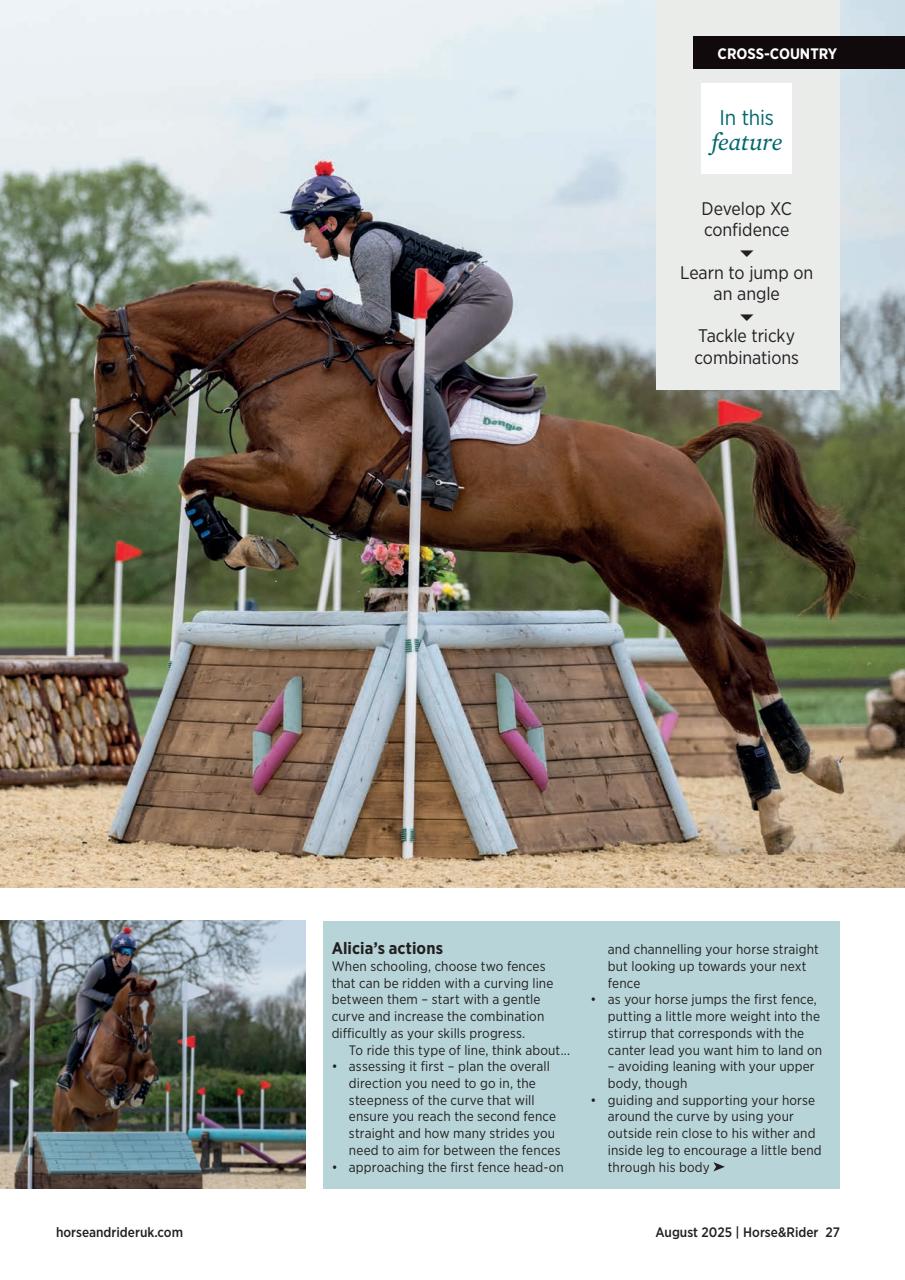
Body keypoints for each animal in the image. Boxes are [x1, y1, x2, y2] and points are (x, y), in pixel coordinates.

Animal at [52, 977, 159, 1132]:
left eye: (153, 1008)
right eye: (132, 1008)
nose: (143, 1045)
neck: (128, 1040)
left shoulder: (139, 1070)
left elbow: (150, 1069)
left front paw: (137, 1097)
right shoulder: (96, 1074)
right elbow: (119, 1072)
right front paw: (116, 1098)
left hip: (103, 1123)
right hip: (64, 1121)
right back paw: (65, 1080)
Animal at [77, 282, 855, 855]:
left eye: (109, 366)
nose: (112, 454)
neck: (284, 356)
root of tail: (680, 456)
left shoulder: (295, 478)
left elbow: (192, 473)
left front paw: (240, 547)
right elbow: (194, 476)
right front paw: (249, 546)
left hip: (673, 596)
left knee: (726, 678)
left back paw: (774, 815)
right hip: (653, 584)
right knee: (751, 651)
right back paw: (811, 764)